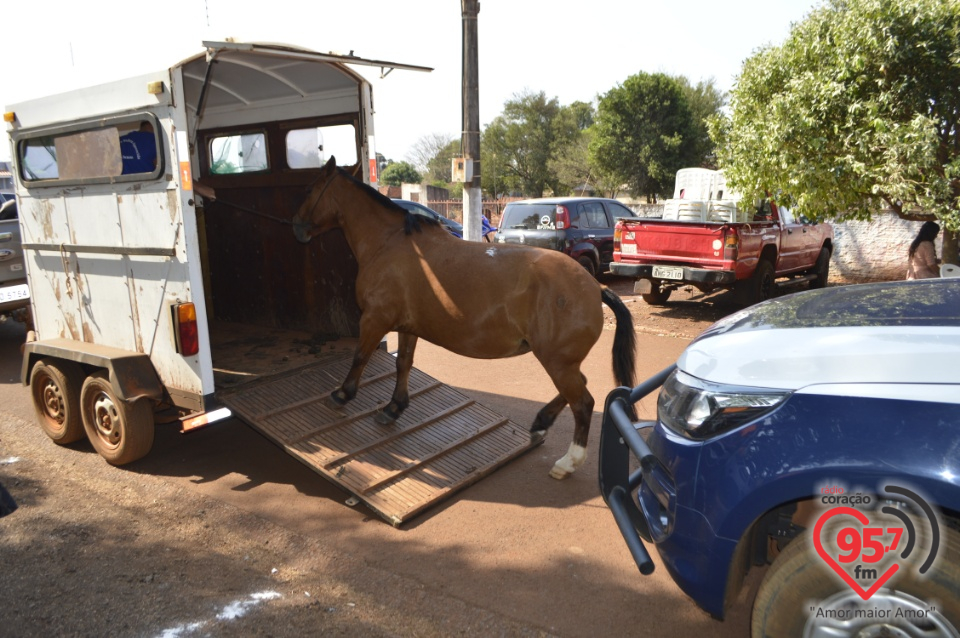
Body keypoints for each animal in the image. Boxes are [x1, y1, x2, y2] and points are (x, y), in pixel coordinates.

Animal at [292, 159, 636, 480]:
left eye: (308, 190)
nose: (296, 227)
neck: (390, 244)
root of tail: (594, 286)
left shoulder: (374, 320)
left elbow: (360, 357)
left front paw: (341, 394)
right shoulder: (406, 327)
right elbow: (403, 363)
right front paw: (394, 407)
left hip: (557, 362)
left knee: (583, 403)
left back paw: (567, 462)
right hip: (562, 363)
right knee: (576, 391)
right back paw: (541, 422)